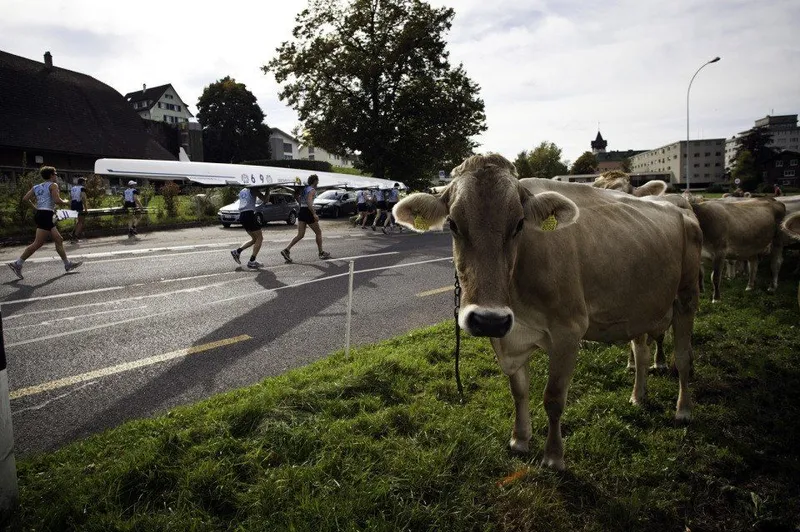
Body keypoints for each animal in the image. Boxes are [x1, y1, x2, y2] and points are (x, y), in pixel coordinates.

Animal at [394, 154, 700, 470]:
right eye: (453, 224)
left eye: (519, 224)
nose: (487, 319)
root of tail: (676, 205)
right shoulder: (510, 334)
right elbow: (519, 391)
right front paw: (520, 439)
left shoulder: (569, 331)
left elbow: (553, 398)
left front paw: (553, 456)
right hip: (639, 306)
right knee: (641, 353)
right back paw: (638, 396)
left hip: (686, 296)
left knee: (683, 356)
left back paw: (683, 410)